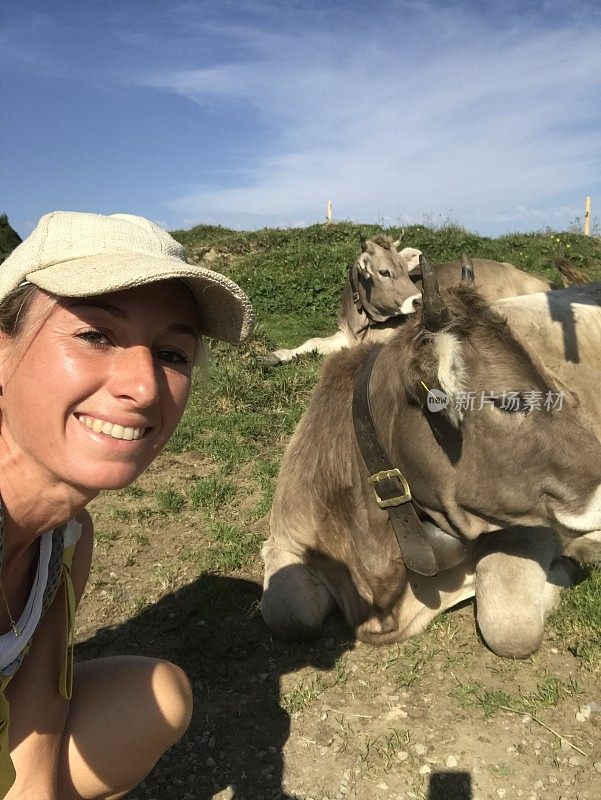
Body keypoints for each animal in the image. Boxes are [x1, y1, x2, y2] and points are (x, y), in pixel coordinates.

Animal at [262, 276, 600, 656]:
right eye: (508, 402)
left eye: (561, 388)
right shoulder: (285, 538)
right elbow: (289, 614)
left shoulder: (527, 525)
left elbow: (508, 624)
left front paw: (568, 566)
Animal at [264, 236, 552, 364]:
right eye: (384, 272)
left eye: (405, 268)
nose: (418, 300)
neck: (361, 325)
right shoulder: (343, 334)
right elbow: (311, 342)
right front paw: (275, 356)